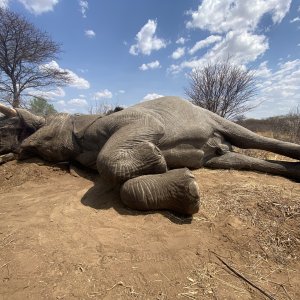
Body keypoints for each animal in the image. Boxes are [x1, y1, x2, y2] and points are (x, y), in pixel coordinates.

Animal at [0, 97, 300, 214]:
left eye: (40, 124)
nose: (16, 149)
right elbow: (122, 187)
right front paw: (185, 187)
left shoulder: (128, 121)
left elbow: (121, 151)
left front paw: (156, 157)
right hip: (217, 158)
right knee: (233, 159)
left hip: (210, 116)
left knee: (250, 138)